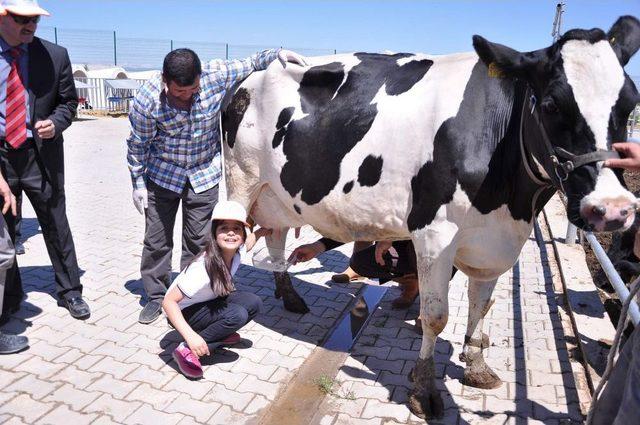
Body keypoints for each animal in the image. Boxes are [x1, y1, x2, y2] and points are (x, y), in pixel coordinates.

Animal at [224, 16, 640, 418]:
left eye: (629, 104)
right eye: (552, 104)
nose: (614, 208)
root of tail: (250, 75)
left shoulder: (497, 241)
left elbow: (481, 305)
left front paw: (476, 366)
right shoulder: (435, 233)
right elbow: (436, 316)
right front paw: (423, 389)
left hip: (275, 192)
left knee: (276, 235)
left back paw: (290, 296)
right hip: (241, 182)